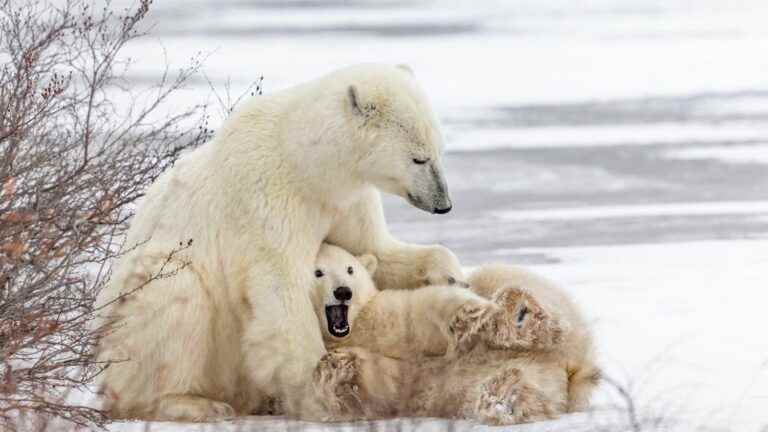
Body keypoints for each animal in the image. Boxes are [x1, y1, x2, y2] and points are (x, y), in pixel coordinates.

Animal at [97, 64, 468, 422]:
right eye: (419, 158)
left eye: (440, 151)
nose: (444, 204)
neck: (304, 163)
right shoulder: (268, 200)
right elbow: (281, 288)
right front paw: (320, 393)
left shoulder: (345, 201)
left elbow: (374, 249)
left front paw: (451, 275)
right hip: (138, 314)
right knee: (177, 298)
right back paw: (194, 404)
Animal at [308, 251, 596, 424]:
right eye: (318, 272)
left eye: (350, 270)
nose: (343, 291)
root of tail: (573, 364)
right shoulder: (397, 381)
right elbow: (379, 388)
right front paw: (337, 367)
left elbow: (431, 308)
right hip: (466, 387)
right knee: (513, 388)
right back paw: (505, 397)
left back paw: (520, 313)